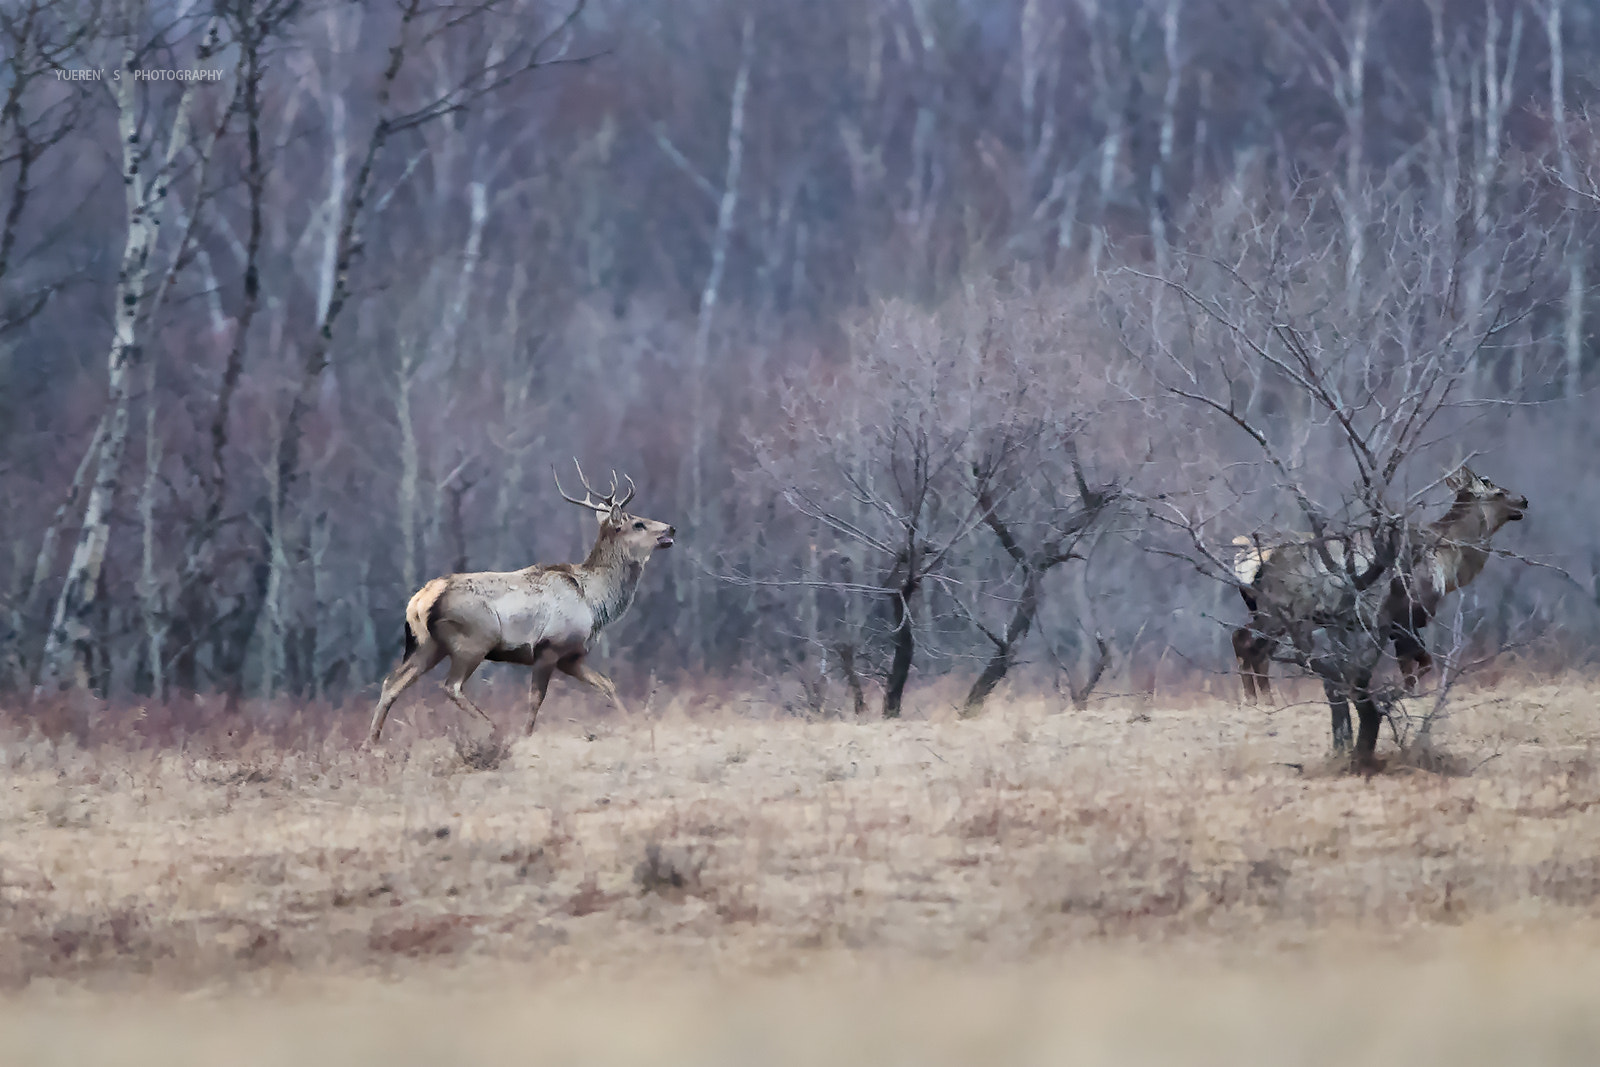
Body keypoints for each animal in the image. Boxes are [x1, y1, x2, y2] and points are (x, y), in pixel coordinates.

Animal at [365, 462, 675, 746]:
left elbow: (607, 685)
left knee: (392, 682)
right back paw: (494, 728)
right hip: (474, 638)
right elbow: (535, 699)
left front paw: (632, 725)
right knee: (450, 686)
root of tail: (421, 599)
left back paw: (371, 743)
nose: (671, 527)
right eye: (638, 523)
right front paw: (526, 736)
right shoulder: (549, 646)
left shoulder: (572, 656)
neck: (595, 602)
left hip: (428, 644)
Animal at [1230, 465, 1527, 756]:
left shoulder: (1396, 626)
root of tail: (1250, 561)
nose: (1523, 500)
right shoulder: (1404, 616)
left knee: (1241, 637)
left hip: (1265, 612)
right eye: (1496, 491)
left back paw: (1254, 698)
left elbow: (1411, 666)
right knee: (1254, 646)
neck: (1448, 565)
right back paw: (1263, 699)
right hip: (1283, 611)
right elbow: (1419, 667)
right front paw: (1401, 695)